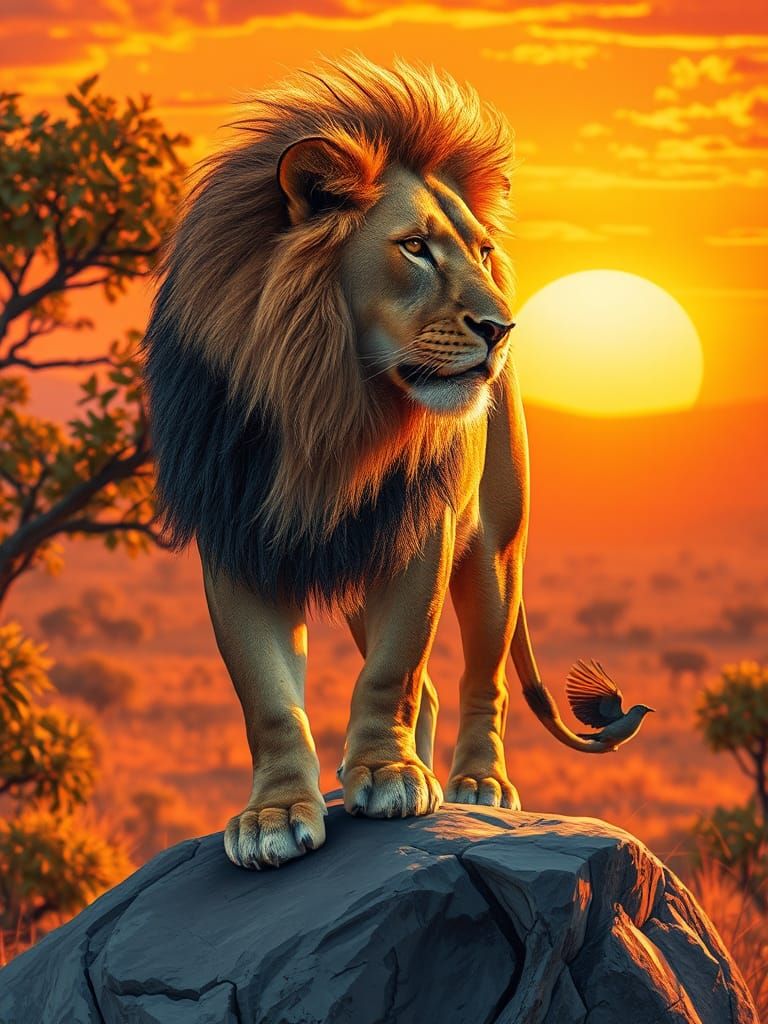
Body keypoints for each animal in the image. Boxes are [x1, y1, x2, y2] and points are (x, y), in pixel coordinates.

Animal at [140, 53, 626, 871]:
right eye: (415, 247)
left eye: (482, 251)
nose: (503, 327)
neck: (330, 404)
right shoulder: (235, 534)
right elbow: (269, 698)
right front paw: (275, 815)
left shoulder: (420, 527)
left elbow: (394, 669)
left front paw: (391, 775)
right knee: (428, 689)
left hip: (496, 552)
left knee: (481, 680)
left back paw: (474, 785)